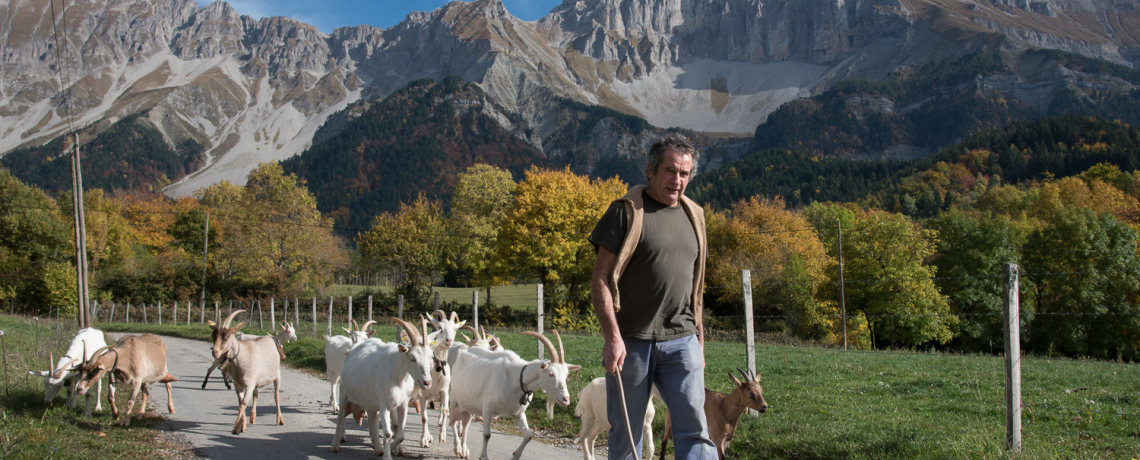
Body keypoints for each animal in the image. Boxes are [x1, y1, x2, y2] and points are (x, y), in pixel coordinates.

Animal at [332, 316, 435, 459]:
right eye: (412, 358)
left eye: (431, 356)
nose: (427, 382)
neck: (399, 377)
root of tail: (353, 349)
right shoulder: (384, 404)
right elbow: (387, 433)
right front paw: (387, 456)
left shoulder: (402, 404)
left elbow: (400, 434)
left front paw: (392, 449)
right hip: (344, 393)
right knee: (340, 417)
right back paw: (335, 445)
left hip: (371, 402)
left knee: (373, 420)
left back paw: (378, 448)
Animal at [449, 327, 583, 457]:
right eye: (551, 374)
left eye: (566, 375)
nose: (566, 399)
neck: (517, 378)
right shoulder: (487, 408)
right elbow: (487, 434)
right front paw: (484, 456)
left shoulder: (518, 413)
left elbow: (528, 436)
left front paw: (515, 455)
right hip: (454, 398)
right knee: (452, 421)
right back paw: (457, 449)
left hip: (469, 404)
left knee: (465, 424)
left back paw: (464, 451)